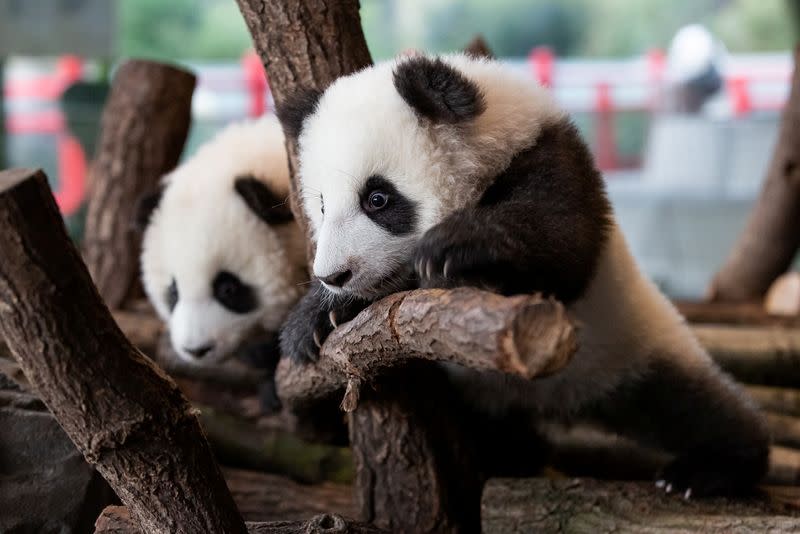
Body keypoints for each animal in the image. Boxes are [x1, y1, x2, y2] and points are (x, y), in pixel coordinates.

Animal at [276, 53, 768, 498]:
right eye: (322, 205)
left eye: (377, 199)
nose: (335, 275)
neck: (497, 137)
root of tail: (556, 396)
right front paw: (316, 317)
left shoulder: (552, 158)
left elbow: (563, 246)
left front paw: (454, 245)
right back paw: (512, 453)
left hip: (633, 343)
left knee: (690, 407)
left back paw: (710, 470)